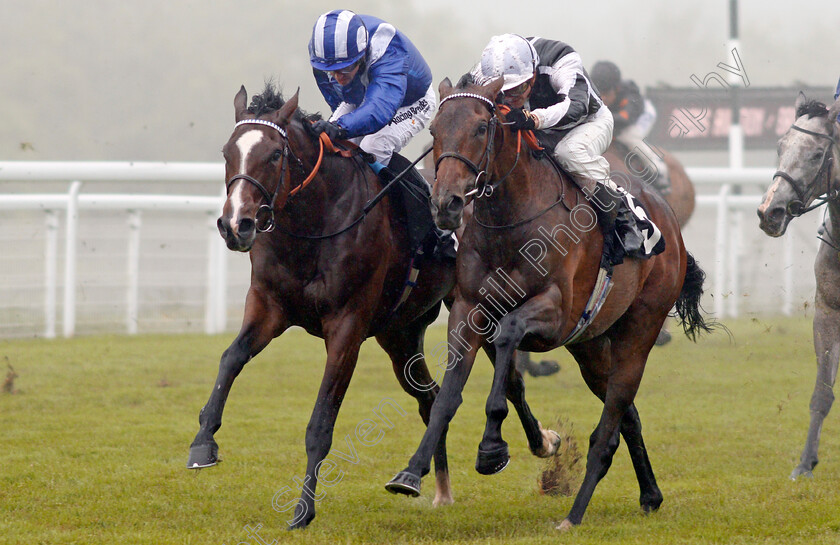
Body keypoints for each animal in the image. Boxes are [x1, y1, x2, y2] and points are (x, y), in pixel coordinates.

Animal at [187, 84, 460, 528]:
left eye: (274, 154)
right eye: (227, 152)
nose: (235, 225)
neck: (314, 225)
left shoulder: (347, 326)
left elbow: (320, 423)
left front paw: (302, 510)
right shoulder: (268, 305)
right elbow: (230, 358)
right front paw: (202, 443)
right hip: (401, 334)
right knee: (430, 396)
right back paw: (433, 487)